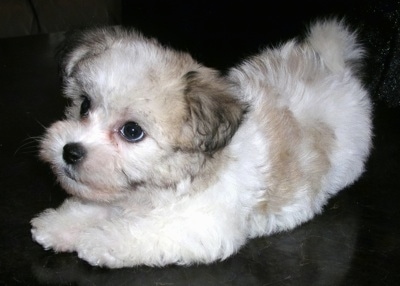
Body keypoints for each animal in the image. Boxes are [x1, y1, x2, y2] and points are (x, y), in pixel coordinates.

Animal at [30, 20, 372, 268]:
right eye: (84, 105)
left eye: (132, 131)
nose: (70, 151)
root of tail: (332, 69)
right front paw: (61, 224)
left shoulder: (202, 223)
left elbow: (150, 229)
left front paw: (101, 239)